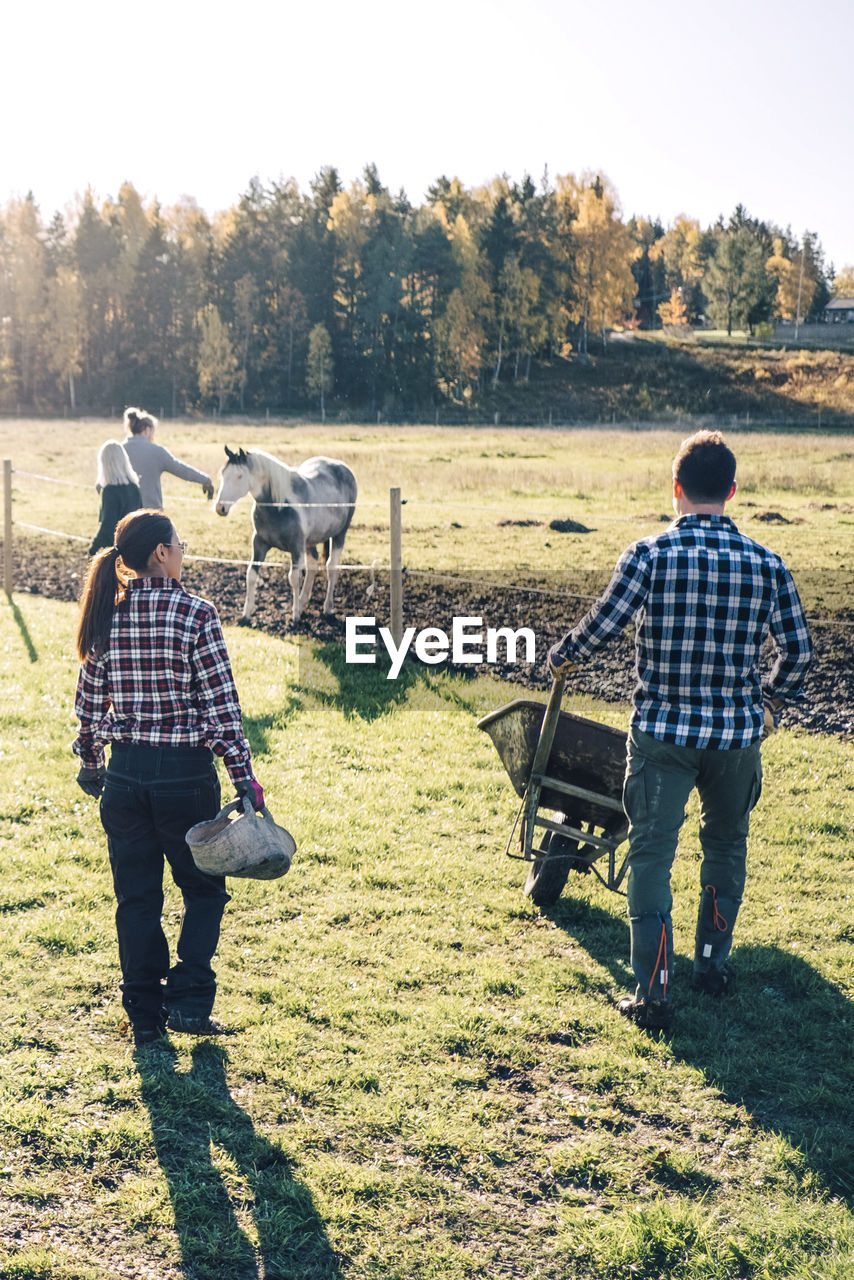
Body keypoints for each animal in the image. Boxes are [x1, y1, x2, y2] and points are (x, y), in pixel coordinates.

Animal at [217, 448, 361, 627]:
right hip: (311, 541)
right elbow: (251, 574)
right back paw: (303, 602)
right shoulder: (259, 544)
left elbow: (294, 577)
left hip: (339, 534)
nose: (220, 507)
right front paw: (245, 615)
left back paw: (327, 609)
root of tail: (343, 468)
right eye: (223, 474)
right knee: (313, 564)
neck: (278, 505)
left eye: (239, 476)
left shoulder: (296, 547)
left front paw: (295, 617)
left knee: (331, 567)